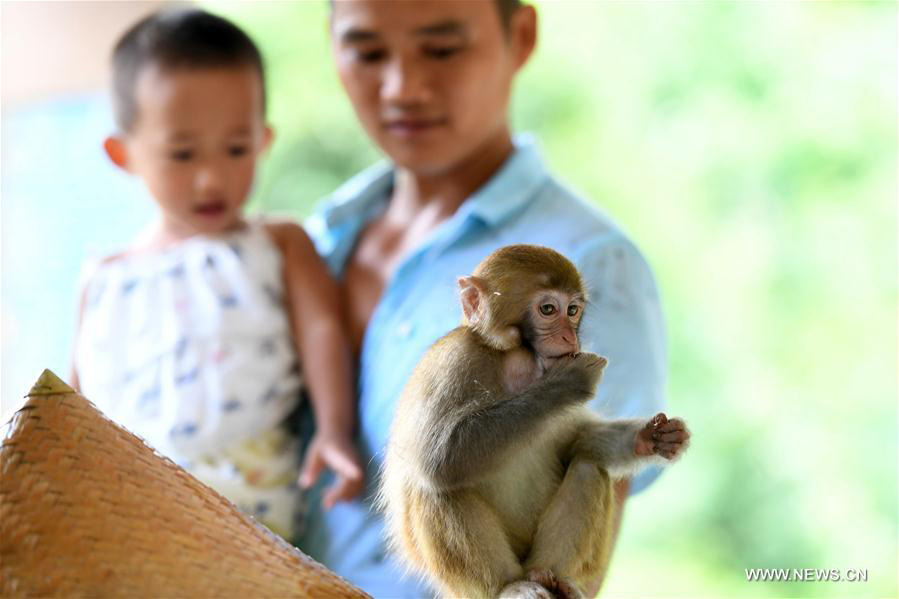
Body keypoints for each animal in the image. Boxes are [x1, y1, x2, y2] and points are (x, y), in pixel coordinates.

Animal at [378, 244, 690, 599]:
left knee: (588, 467)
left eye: (572, 310)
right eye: (548, 309)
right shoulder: (453, 361)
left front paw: (651, 438)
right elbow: (437, 456)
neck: (518, 363)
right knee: (438, 486)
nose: (569, 337)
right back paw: (510, 586)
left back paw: (557, 581)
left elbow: (576, 442)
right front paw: (568, 383)